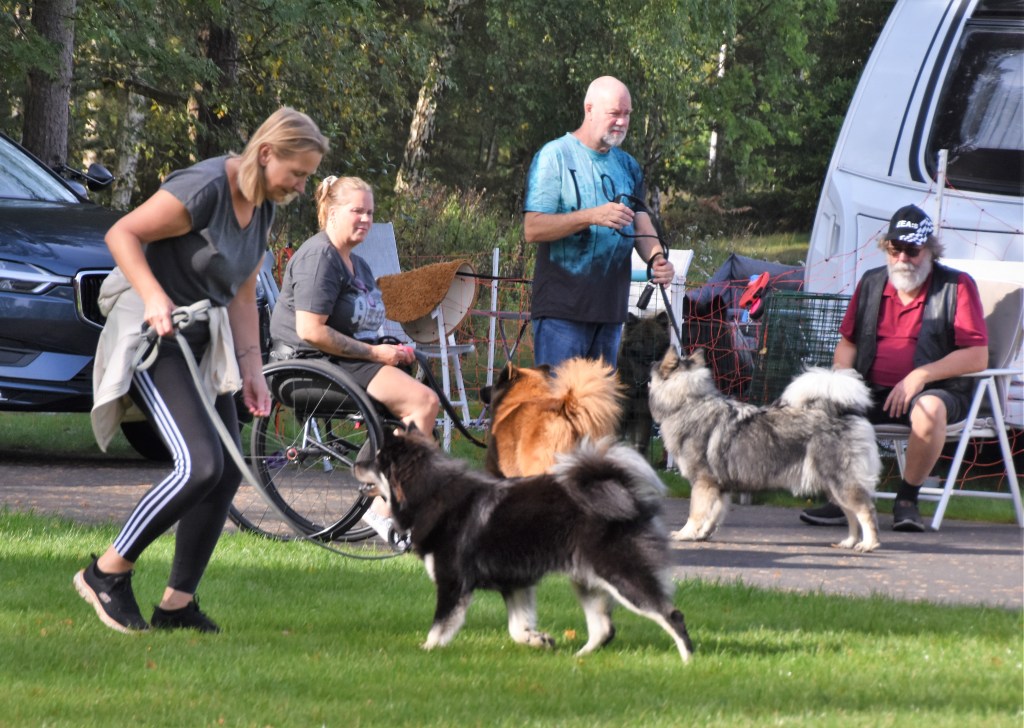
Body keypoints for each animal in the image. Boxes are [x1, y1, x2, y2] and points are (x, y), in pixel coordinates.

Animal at [353, 426, 694, 663]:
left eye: (378, 460)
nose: (356, 463)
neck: (429, 493)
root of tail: (629, 497)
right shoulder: (514, 583)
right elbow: (517, 629)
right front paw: (539, 640)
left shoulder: (452, 583)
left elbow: (441, 625)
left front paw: (426, 649)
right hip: (586, 579)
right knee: (604, 629)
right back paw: (579, 658)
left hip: (622, 576)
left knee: (671, 615)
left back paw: (688, 659)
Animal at [648, 347, 881, 552]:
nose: (649, 365)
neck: (688, 402)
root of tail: (845, 413)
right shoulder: (720, 487)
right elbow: (714, 514)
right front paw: (703, 534)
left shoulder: (703, 483)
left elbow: (695, 513)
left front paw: (684, 534)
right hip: (834, 488)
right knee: (851, 515)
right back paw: (849, 542)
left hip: (842, 484)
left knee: (865, 511)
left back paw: (868, 544)